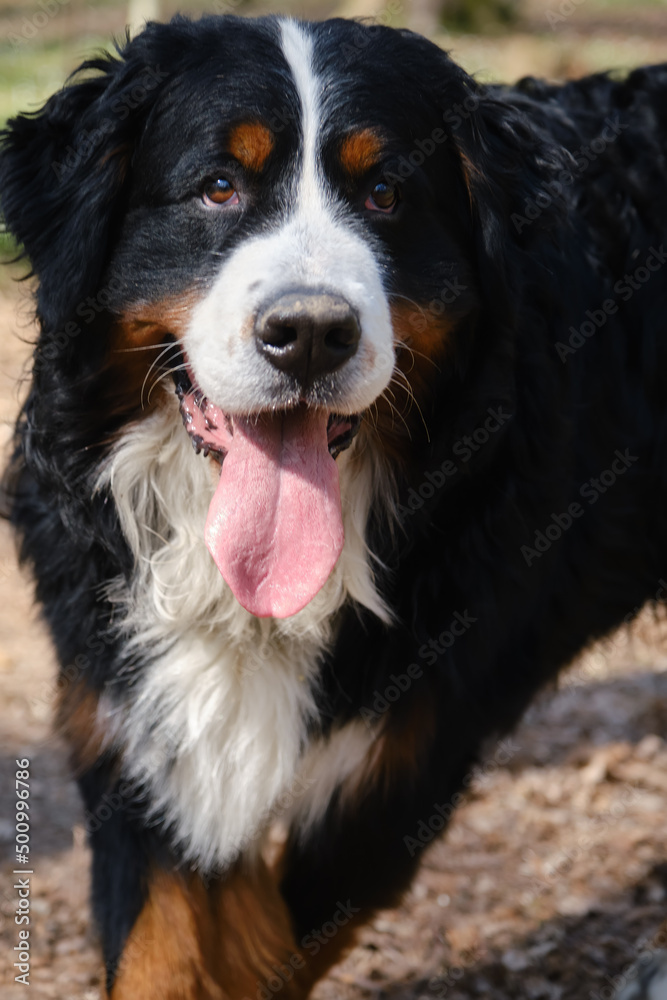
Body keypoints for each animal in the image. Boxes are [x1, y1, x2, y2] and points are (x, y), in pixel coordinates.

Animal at [1, 15, 667, 1000]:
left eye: (385, 193)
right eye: (218, 187)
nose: (310, 332)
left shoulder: (399, 764)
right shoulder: (132, 723)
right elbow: (164, 947)